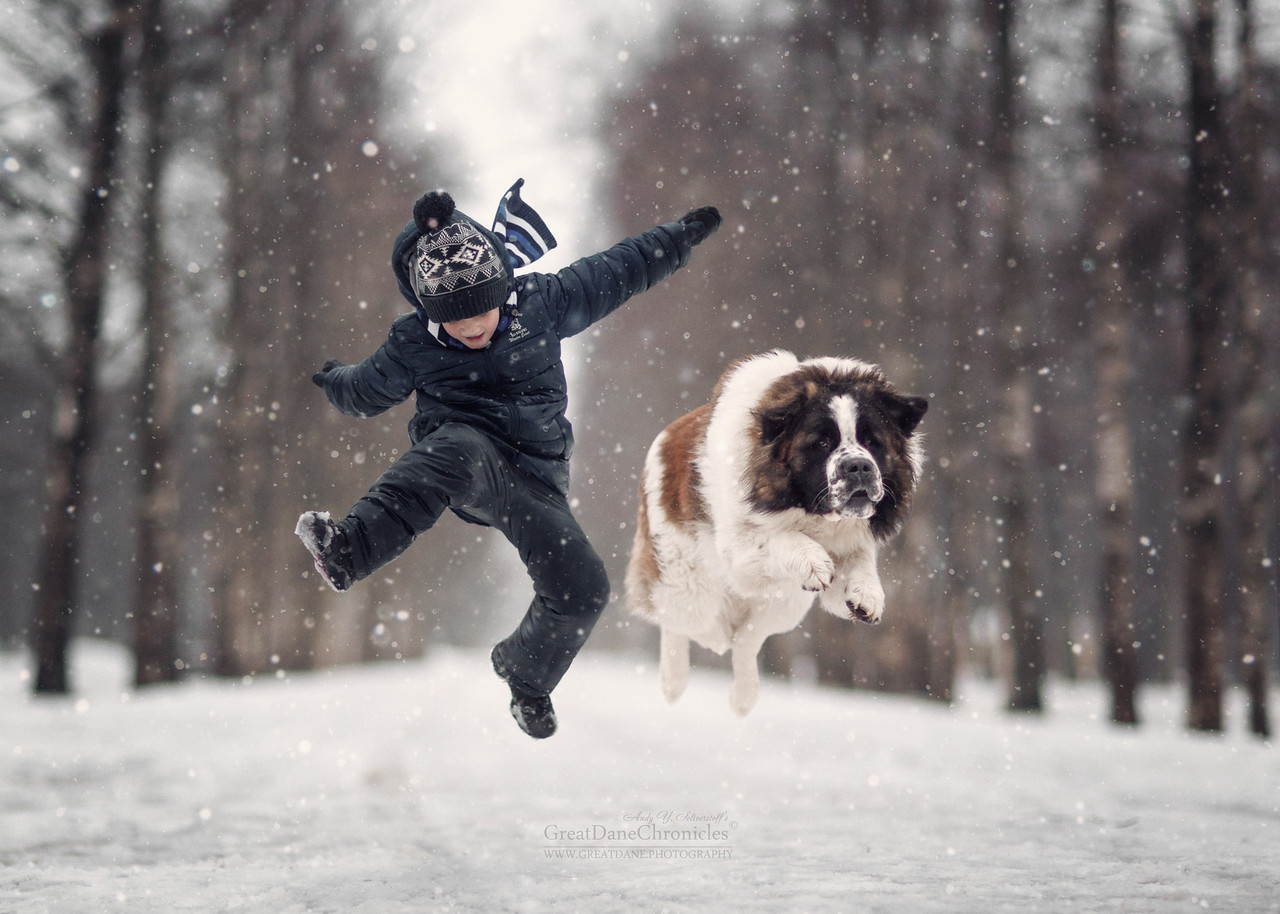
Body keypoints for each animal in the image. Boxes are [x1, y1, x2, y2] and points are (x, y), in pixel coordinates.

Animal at [624, 348, 926, 711]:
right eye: (822, 442)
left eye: (872, 441)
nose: (859, 466)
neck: (813, 515)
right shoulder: (739, 550)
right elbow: (781, 537)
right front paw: (812, 559)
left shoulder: (848, 545)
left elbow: (858, 562)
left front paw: (866, 592)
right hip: (690, 584)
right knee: (684, 623)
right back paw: (674, 679)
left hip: (784, 602)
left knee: (746, 639)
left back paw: (743, 696)